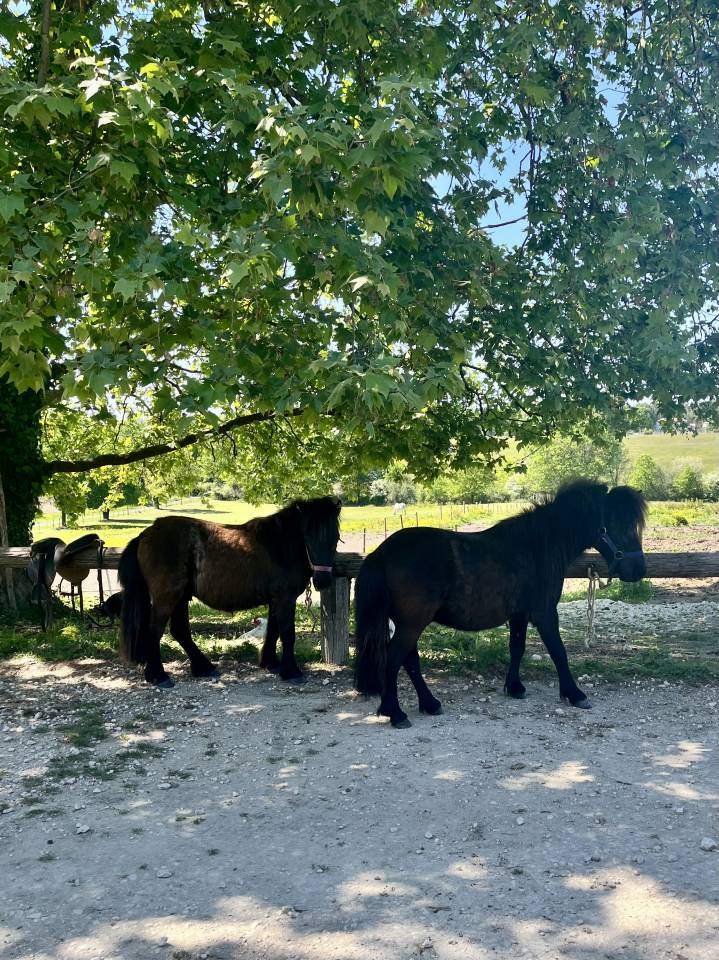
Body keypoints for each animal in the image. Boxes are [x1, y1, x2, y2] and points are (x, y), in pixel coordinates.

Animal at [118, 496, 341, 687]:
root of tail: (145, 535)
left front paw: (271, 663)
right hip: (167, 597)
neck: (279, 545)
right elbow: (287, 632)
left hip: (181, 597)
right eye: (308, 536)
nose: (322, 581)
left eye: (335, 538)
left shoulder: (275, 599)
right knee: (154, 631)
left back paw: (204, 668)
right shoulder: (285, 598)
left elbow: (273, 630)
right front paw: (291, 672)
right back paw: (159, 676)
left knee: (180, 631)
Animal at [354, 480, 646, 728]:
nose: (638, 570)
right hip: (412, 623)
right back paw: (396, 713)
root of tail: (381, 553)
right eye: (617, 524)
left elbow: (517, 648)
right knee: (394, 659)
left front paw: (515, 688)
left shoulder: (519, 614)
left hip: (407, 623)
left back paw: (430, 704)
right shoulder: (544, 612)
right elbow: (558, 651)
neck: (536, 547)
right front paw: (574, 694)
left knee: (409, 660)